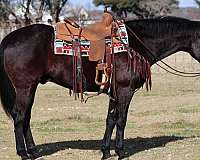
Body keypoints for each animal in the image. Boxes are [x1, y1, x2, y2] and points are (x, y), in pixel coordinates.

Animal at [0, 16, 200, 160]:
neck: (136, 44)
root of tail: (8, 39)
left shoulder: (115, 92)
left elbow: (110, 119)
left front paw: (105, 151)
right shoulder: (125, 90)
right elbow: (121, 119)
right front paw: (120, 151)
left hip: (30, 88)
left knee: (26, 117)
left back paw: (33, 151)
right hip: (25, 87)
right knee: (19, 116)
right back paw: (23, 153)